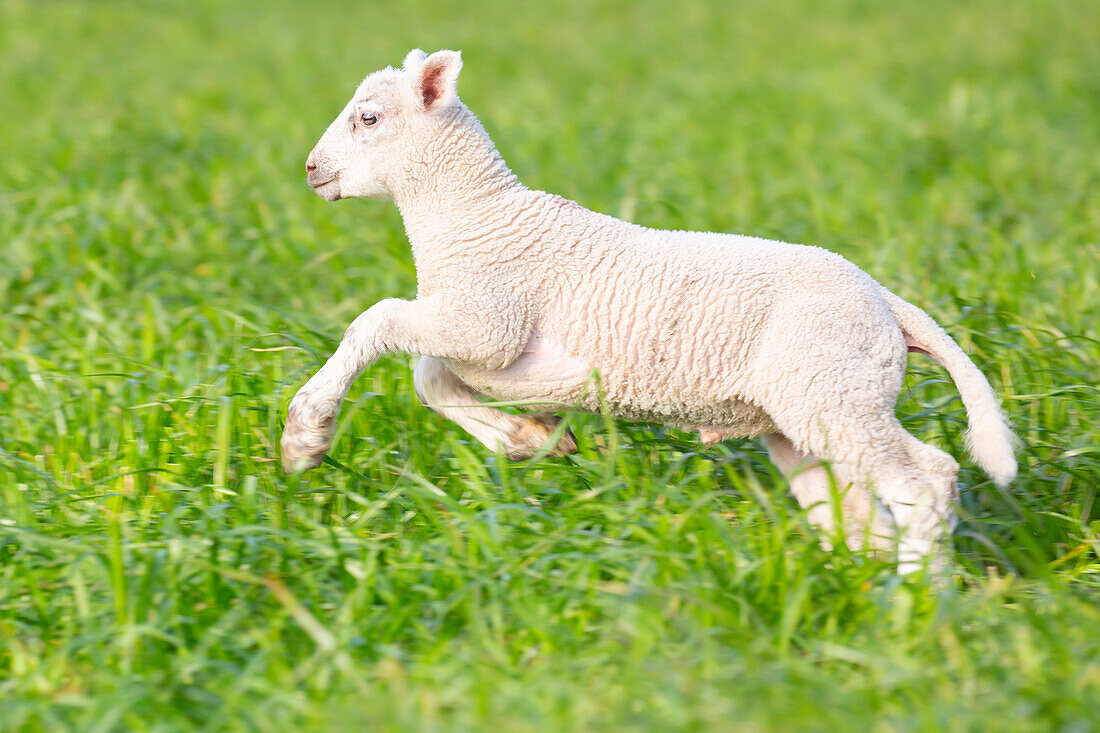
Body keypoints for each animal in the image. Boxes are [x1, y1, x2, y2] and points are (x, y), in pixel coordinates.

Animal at [279, 48, 1016, 572]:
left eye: (369, 118)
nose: (311, 169)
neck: (476, 215)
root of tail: (887, 300)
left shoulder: (488, 321)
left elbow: (379, 323)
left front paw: (304, 435)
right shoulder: (486, 339)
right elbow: (430, 377)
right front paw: (527, 438)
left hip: (836, 389)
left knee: (929, 479)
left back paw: (918, 604)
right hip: (809, 411)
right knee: (858, 514)